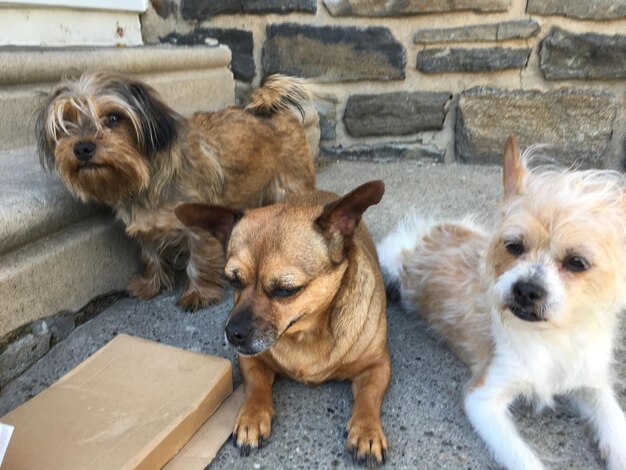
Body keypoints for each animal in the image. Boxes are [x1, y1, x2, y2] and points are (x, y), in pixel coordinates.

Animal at [36, 72, 314, 308]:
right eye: (66, 122)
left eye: (113, 118)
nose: (82, 147)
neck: (145, 180)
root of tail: (272, 109)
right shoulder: (145, 231)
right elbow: (151, 256)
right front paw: (151, 284)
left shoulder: (199, 231)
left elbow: (197, 263)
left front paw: (198, 293)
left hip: (292, 186)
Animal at [176, 181, 390, 466]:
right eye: (233, 281)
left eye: (285, 290)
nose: (233, 333)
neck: (306, 335)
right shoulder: (250, 360)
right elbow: (256, 387)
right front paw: (252, 417)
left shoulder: (377, 367)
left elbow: (368, 398)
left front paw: (366, 431)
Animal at [376, 134, 624, 468]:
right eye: (514, 246)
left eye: (577, 262)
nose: (526, 290)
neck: (552, 337)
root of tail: (427, 232)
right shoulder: (482, 400)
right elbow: (525, 460)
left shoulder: (591, 383)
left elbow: (615, 423)